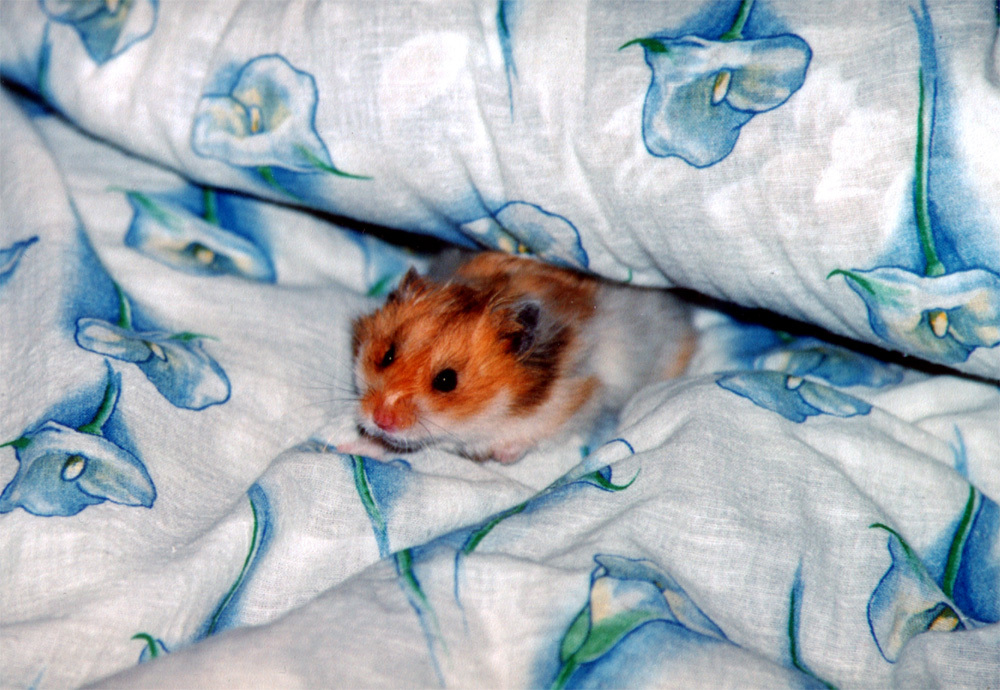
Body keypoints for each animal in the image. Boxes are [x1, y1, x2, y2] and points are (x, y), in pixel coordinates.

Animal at [346, 252, 695, 464]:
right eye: (387, 355)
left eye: (446, 380)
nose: (380, 418)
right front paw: (347, 446)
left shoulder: (576, 399)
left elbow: (532, 435)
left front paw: (501, 454)